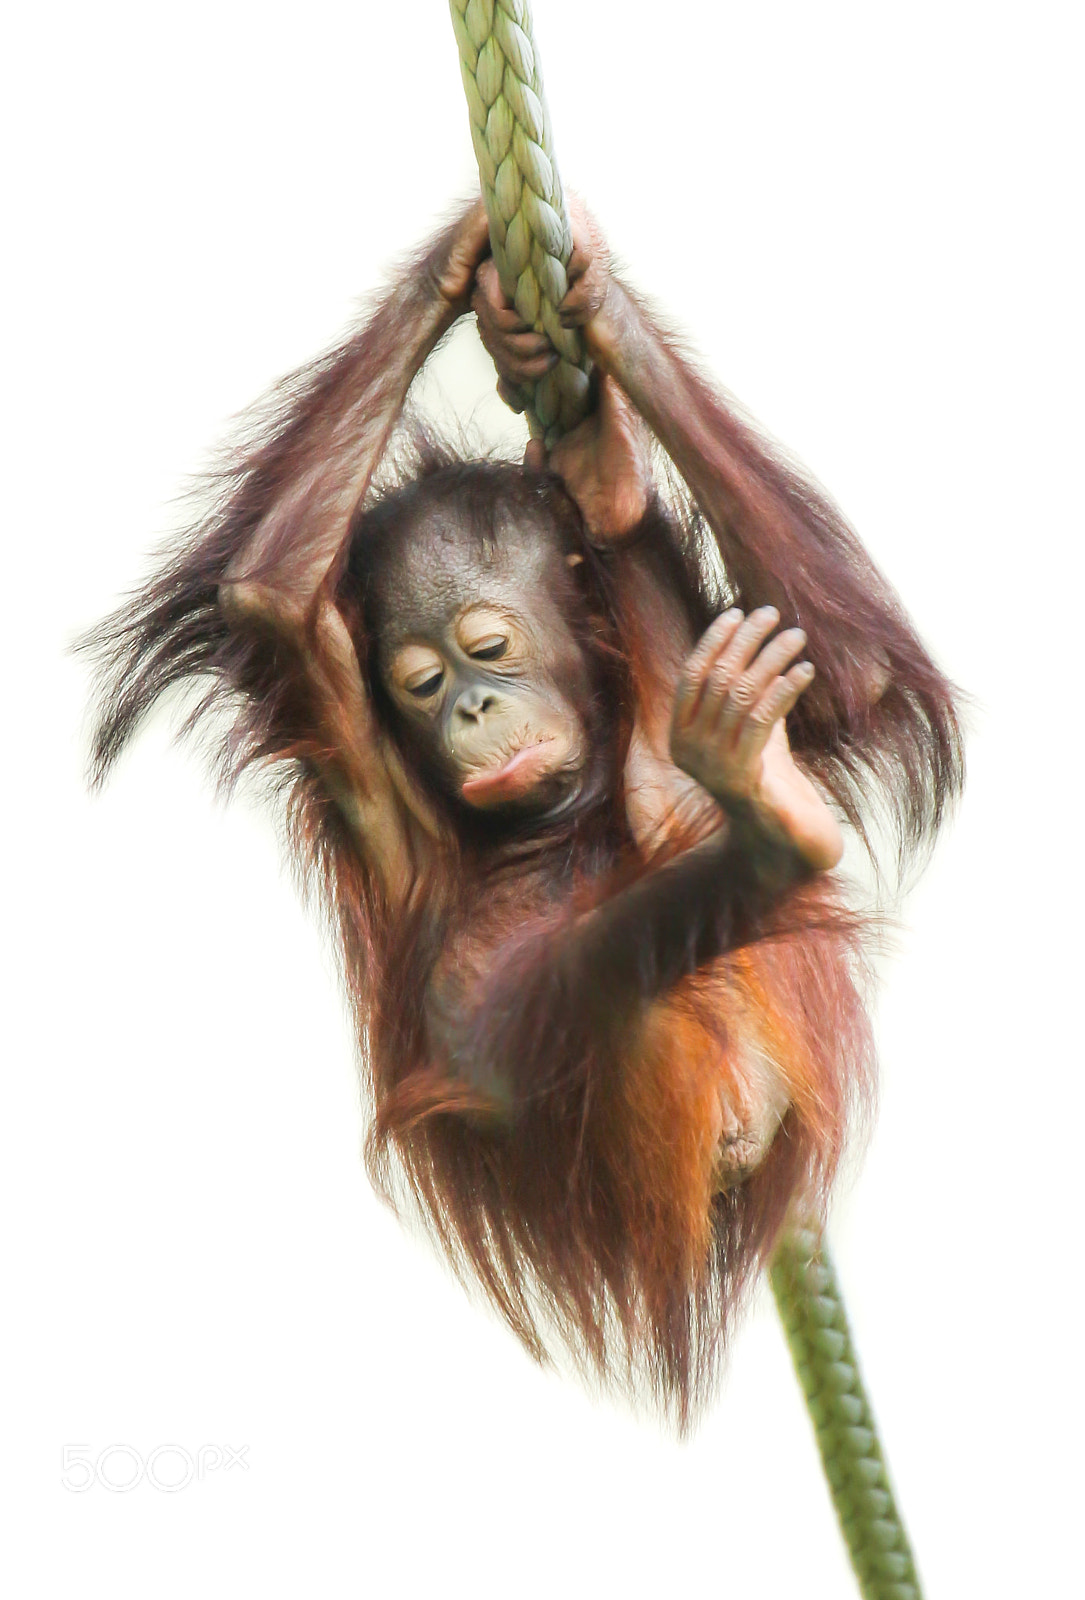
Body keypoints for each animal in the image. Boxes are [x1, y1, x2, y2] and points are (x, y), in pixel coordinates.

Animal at [84, 198, 962, 1423]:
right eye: (417, 681)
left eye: (486, 645)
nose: (471, 706)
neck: (561, 819)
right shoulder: (358, 753)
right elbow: (269, 597)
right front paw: (460, 275)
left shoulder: (786, 690)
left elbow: (853, 674)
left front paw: (598, 324)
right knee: (561, 988)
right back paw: (769, 826)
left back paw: (612, 495)